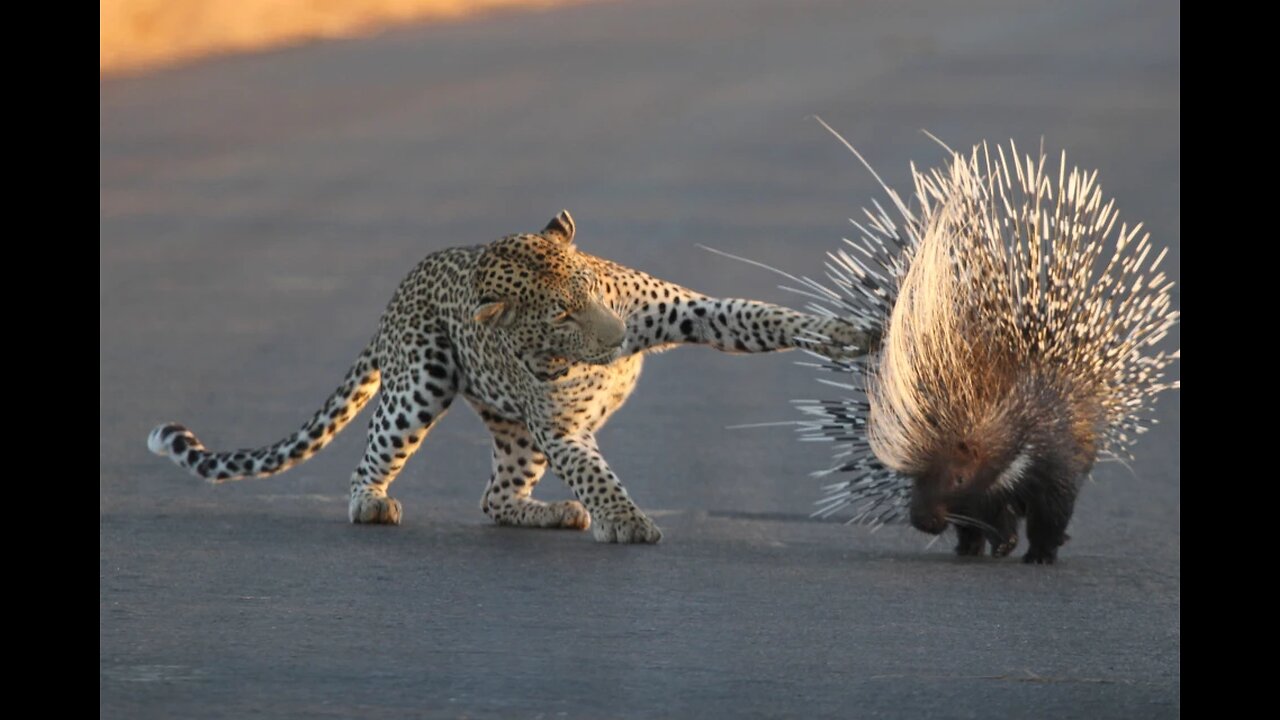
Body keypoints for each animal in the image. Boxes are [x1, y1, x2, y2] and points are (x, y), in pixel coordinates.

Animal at [145, 210, 875, 540]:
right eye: (560, 314)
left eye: (589, 288)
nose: (619, 343)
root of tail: (399, 290)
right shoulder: (561, 427)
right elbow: (597, 474)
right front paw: (626, 520)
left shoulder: (692, 313)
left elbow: (759, 316)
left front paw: (844, 335)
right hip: (422, 381)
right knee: (376, 452)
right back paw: (371, 502)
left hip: (512, 432)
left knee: (495, 498)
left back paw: (550, 513)